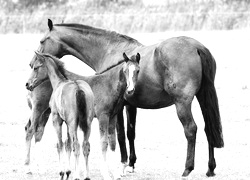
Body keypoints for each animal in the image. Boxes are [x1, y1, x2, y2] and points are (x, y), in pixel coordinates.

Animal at [26, 51, 94, 179]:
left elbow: (60, 144)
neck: (59, 83)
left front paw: (62, 172)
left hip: (73, 125)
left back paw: (77, 176)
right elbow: (67, 144)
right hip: (87, 124)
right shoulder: (66, 123)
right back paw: (86, 176)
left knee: (77, 145)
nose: (27, 84)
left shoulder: (56, 120)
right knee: (85, 146)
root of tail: (78, 89)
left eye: (36, 67)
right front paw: (67, 172)